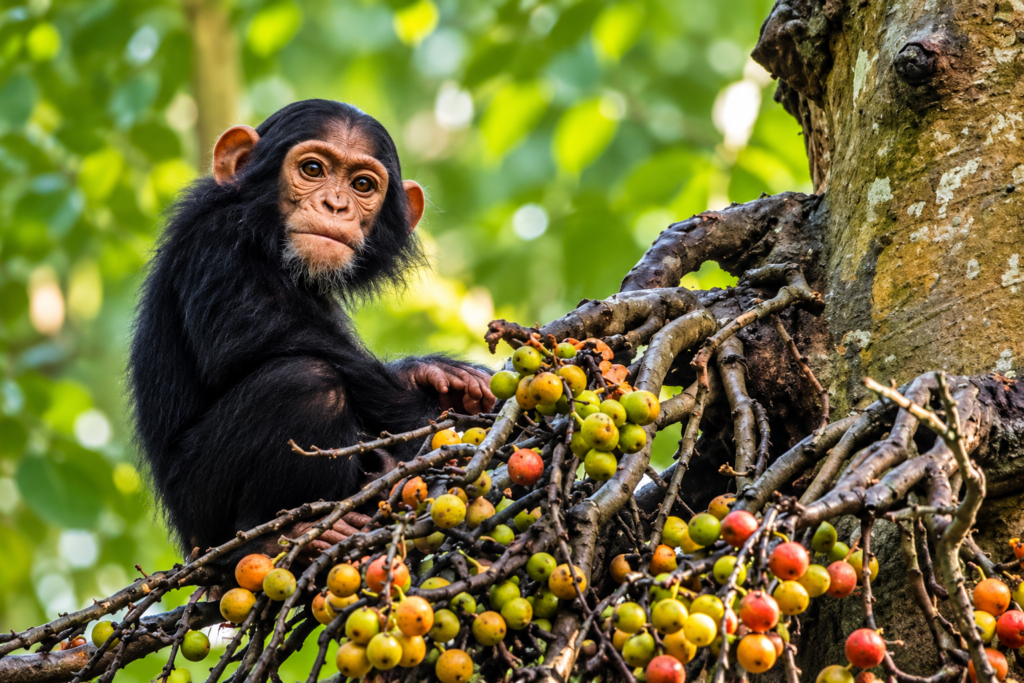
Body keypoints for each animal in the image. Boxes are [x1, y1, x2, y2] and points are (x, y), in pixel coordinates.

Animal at [127, 99, 494, 560]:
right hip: (201, 512)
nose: (335, 204)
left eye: (362, 184)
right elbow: (261, 336)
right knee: (309, 382)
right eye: (313, 169)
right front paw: (425, 418)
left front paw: (438, 375)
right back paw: (270, 538)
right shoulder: (216, 239)